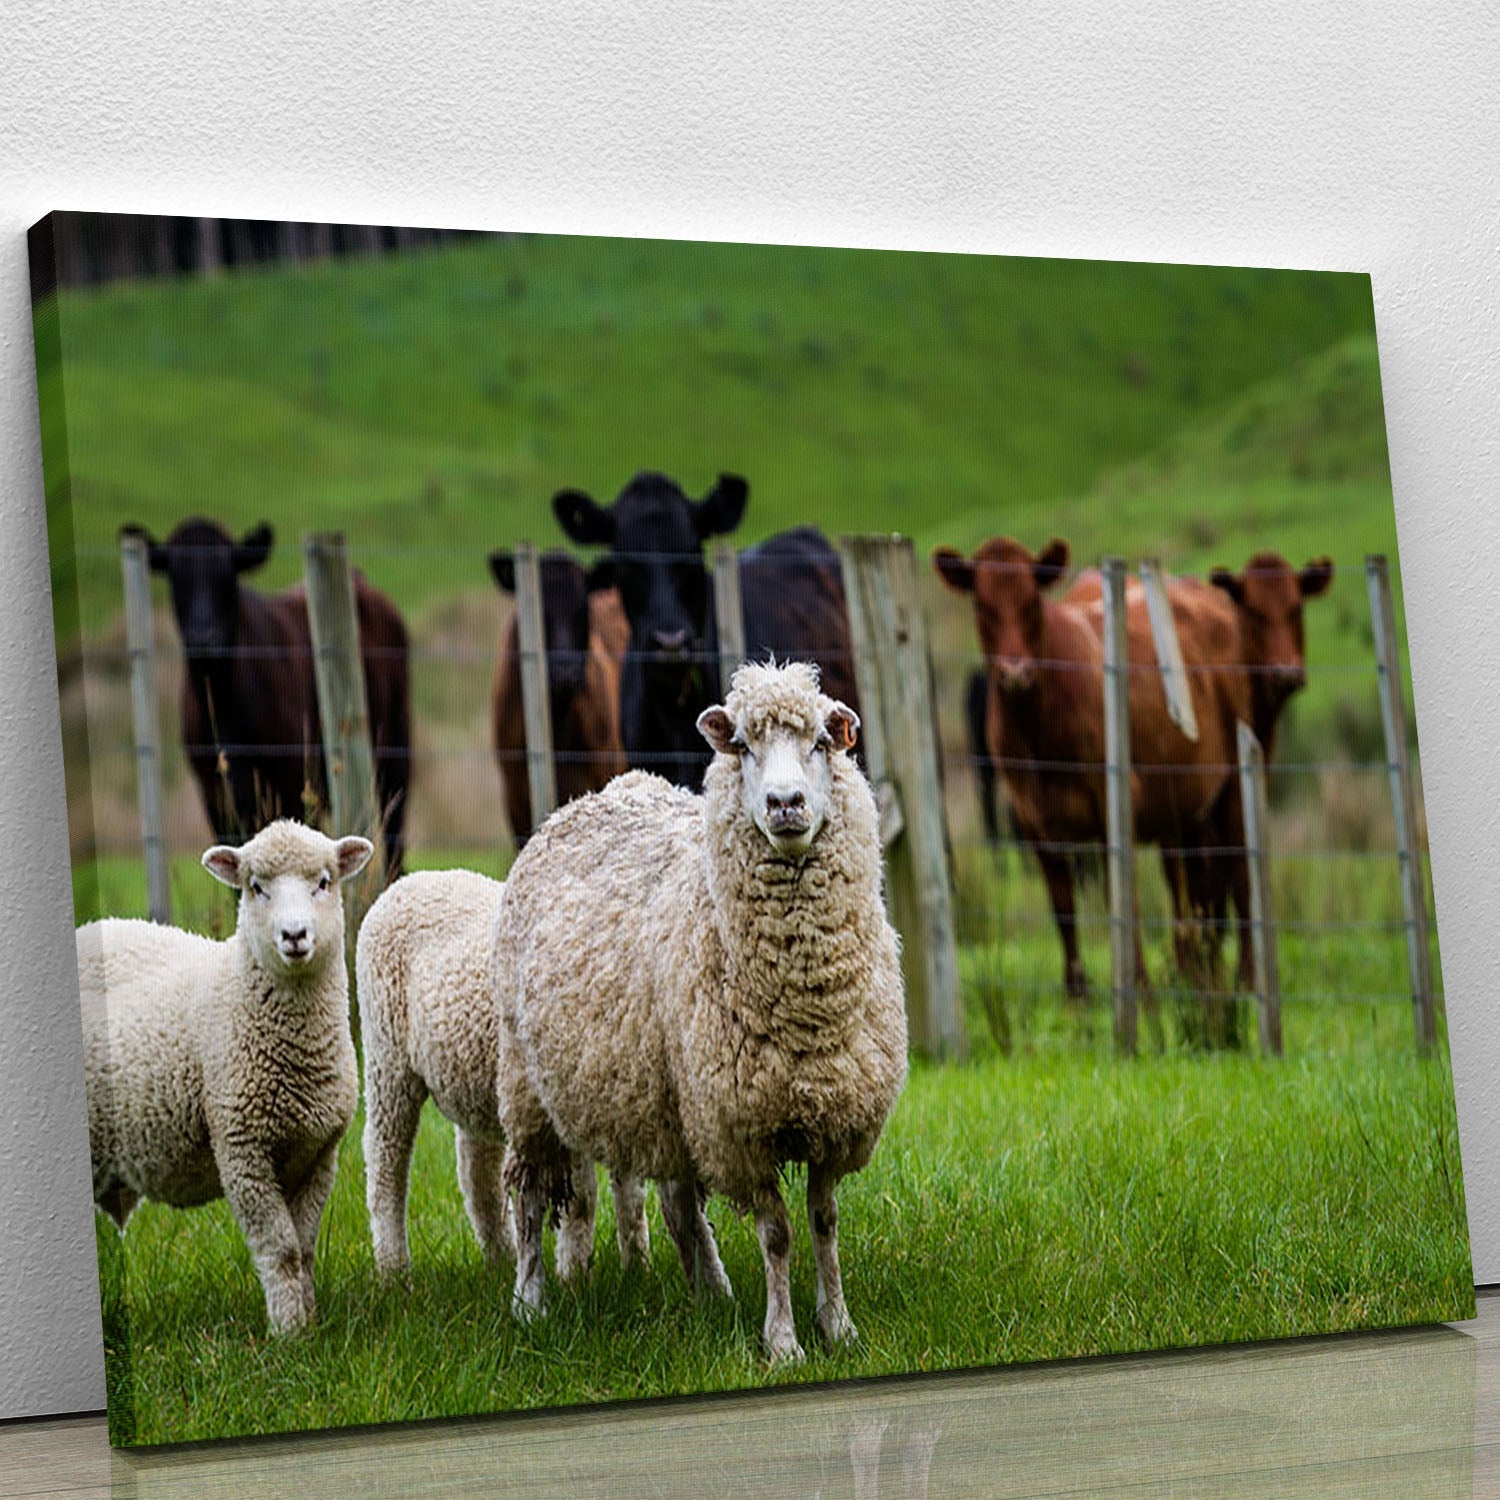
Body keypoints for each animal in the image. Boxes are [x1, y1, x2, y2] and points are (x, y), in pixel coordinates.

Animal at [78, 820, 372, 1335]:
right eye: (256, 887)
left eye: (323, 882)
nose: (294, 935)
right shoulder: (241, 1150)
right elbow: (282, 1250)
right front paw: (289, 1334)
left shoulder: (319, 1154)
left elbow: (305, 1248)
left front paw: (309, 1322)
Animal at [121, 518, 412, 874]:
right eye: (176, 577)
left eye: (228, 575)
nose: (204, 638)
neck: (224, 705)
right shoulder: (215, 795)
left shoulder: (293, 781)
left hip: (393, 758)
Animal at [355, 867, 650, 1279]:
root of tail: (411, 880)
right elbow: (582, 1198)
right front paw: (575, 1275)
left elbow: (631, 1196)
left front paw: (638, 1268)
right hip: (387, 1056)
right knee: (386, 1161)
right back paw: (393, 1269)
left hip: (476, 1079)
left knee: (477, 1176)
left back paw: (502, 1259)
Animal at [493, 659, 908, 1361]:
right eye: (741, 746)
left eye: (822, 742)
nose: (785, 804)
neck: (806, 1006)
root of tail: (594, 796)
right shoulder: (742, 1128)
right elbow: (777, 1234)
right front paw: (783, 1342)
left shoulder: (833, 1116)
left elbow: (823, 1224)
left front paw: (839, 1326)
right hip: (529, 1086)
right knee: (526, 1193)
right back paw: (529, 1301)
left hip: (668, 1096)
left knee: (681, 1204)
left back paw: (711, 1292)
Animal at [934, 536, 1240, 1026]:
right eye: (981, 605)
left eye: (1032, 601)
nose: (1015, 673)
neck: (1038, 728)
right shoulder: (1031, 821)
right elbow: (1064, 911)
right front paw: (1077, 1002)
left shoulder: (1114, 807)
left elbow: (1123, 904)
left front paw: (1141, 997)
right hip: (1180, 811)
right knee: (1188, 887)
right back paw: (1196, 974)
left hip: (1232, 787)